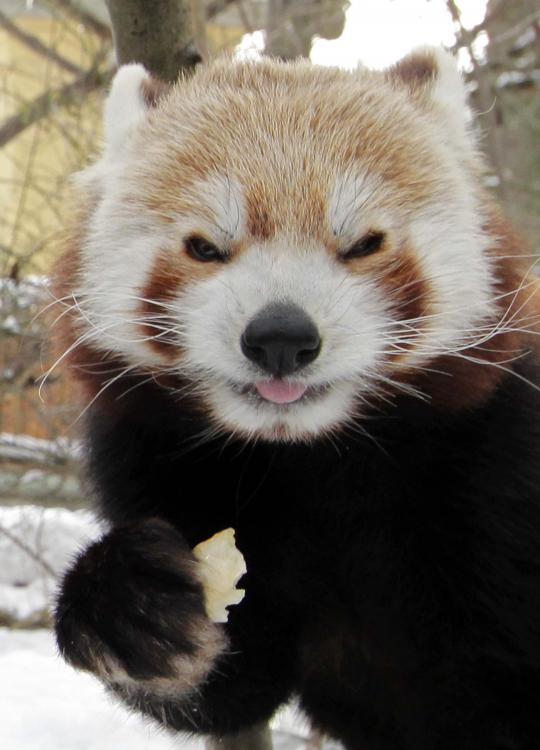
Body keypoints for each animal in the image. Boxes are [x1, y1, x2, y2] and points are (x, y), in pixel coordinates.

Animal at [52, 50, 540, 748]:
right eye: (205, 247)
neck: (315, 460)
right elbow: (235, 681)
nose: (280, 337)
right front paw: (126, 601)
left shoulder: (497, 463)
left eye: (363, 244)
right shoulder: (159, 457)